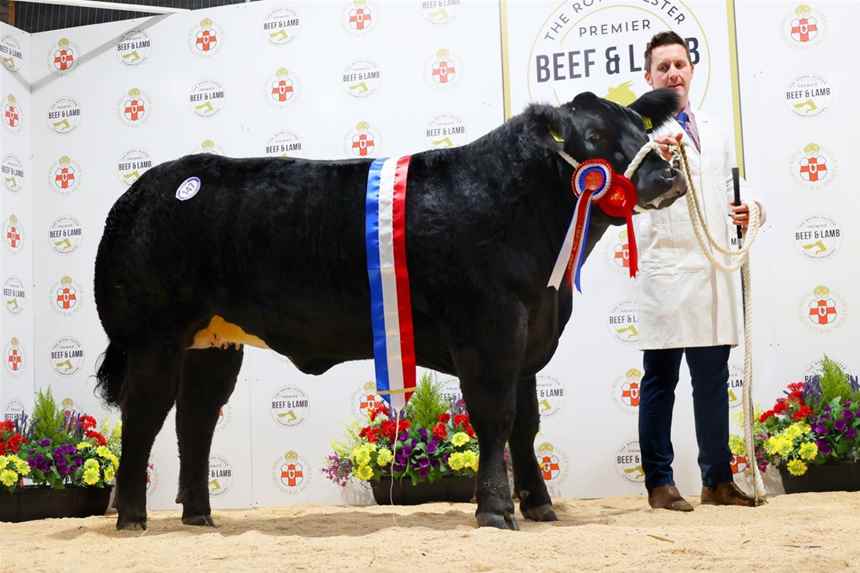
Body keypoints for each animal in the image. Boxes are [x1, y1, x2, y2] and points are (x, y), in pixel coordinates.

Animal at [94, 87, 684, 528]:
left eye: (642, 129)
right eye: (595, 138)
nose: (668, 176)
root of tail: (144, 189)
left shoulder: (529, 334)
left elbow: (527, 424)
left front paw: (539, 505)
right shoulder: (489, 329)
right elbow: (495, 416)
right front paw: (495, 510)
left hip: (214, 345)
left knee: (194, 422)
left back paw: (198, 515)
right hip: (152, 337)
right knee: (143, 417)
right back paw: (132, 517)